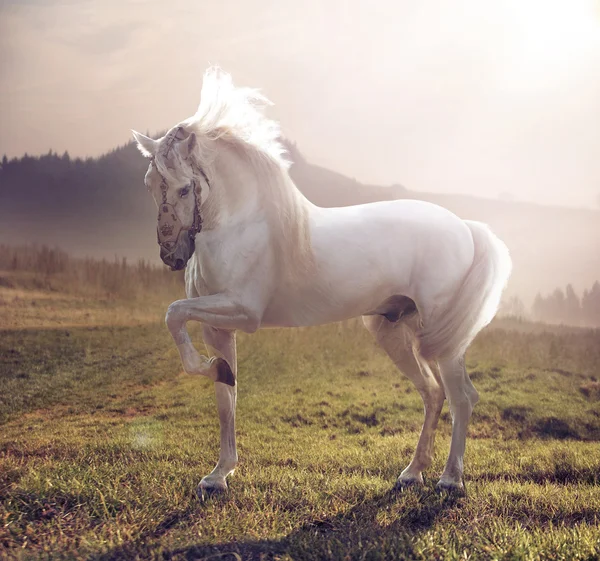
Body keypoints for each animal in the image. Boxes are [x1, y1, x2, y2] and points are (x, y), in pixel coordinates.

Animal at [132, 66, 510, 494]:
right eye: (150, 184)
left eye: (183, 188)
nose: (172, 256)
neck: (240, 223)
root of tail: (465, 227)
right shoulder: (218, 327)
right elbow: (225, 398)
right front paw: (219, 473)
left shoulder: (242, 312)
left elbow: (174, 313)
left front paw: (206, 370)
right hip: (394, 332)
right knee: (433, 393)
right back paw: (412, 472)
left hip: (442, 341)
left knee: (462, 397)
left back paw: (450, 479)